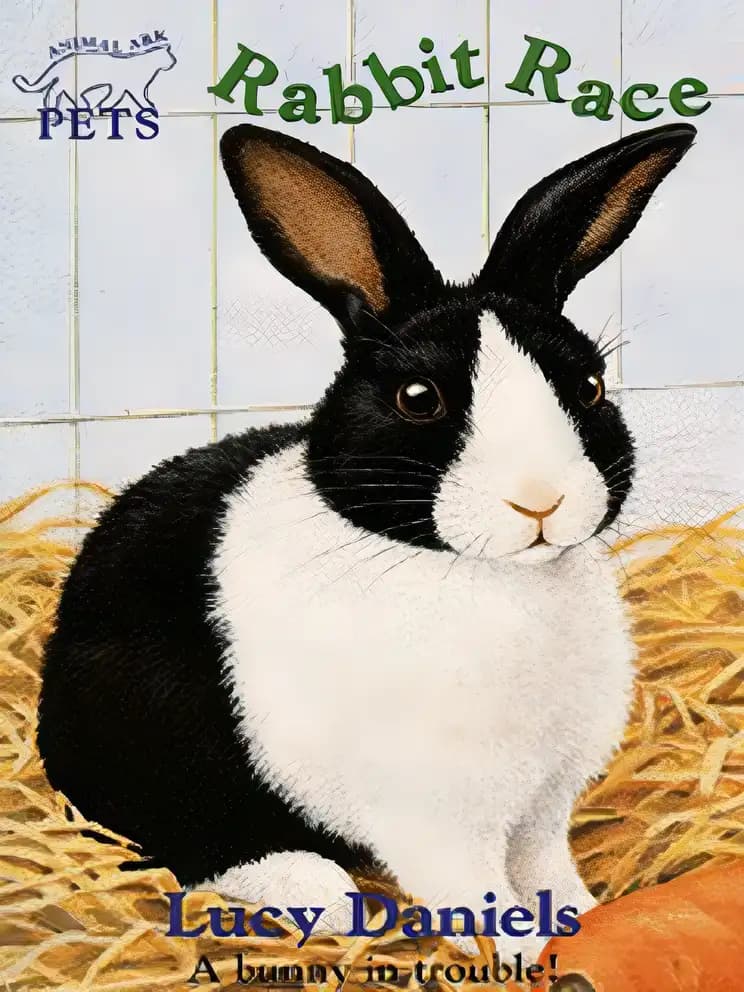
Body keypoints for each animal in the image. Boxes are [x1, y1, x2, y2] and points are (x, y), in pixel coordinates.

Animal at [37, 120, 696, 955]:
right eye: (417, 398)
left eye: (588, 388)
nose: (540, 501)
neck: (490, 576)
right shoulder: (435, 821)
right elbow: (475, 892)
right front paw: (519, 952)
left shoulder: (542, 806)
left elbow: (546, 870)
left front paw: (585, 916)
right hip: (157, 735)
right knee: (182, 840)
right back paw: (313, 890)